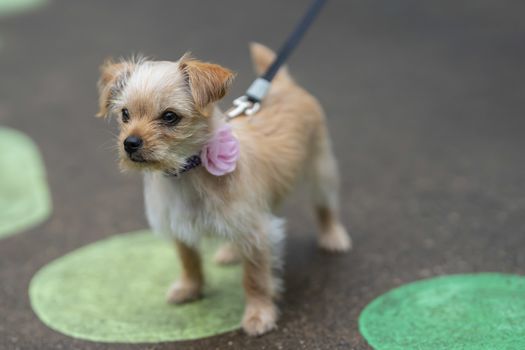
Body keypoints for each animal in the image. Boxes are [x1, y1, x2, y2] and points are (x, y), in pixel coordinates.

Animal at [96, 43, 350, 336]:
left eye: (170, 117)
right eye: (125, 114)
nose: (130, 143)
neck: (189, 171)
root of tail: (283, 85)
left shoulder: (255, 231)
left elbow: (255, 278)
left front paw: (259, 314)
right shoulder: (181, 225)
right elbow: (189, 260)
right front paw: (190, 288)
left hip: (321, 171)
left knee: (325, 207)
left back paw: (333, 236)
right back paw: (231, 252)